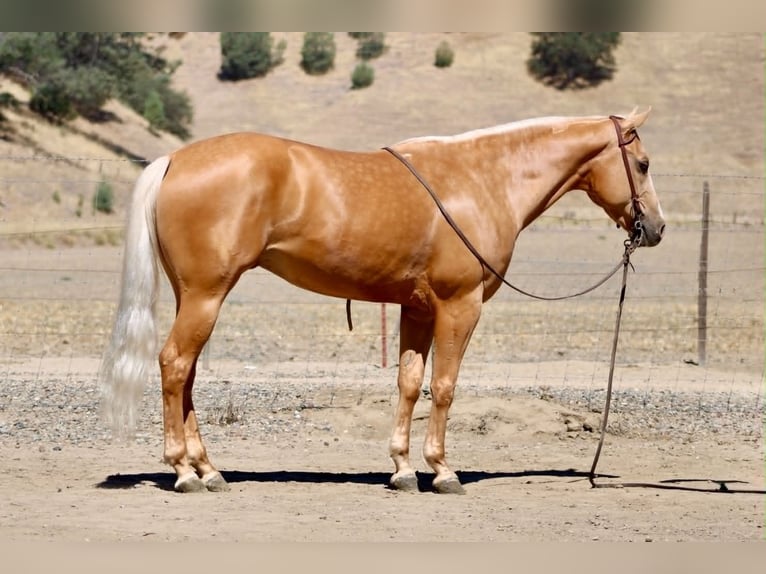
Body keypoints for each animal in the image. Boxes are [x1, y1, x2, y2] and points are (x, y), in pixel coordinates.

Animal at [100, 108, 665, 494]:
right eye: (642, 163)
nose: (655, 228)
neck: (482, 180)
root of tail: (175, 160)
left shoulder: (416, 309)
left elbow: (410, 384)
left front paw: (403, 469)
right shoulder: (460, 306)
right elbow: (445, 386)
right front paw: (442, 471)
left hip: (194, 296)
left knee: (187, 374)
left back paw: (207, 469)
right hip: (206, 295)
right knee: (175, 365)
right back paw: (183, 471)